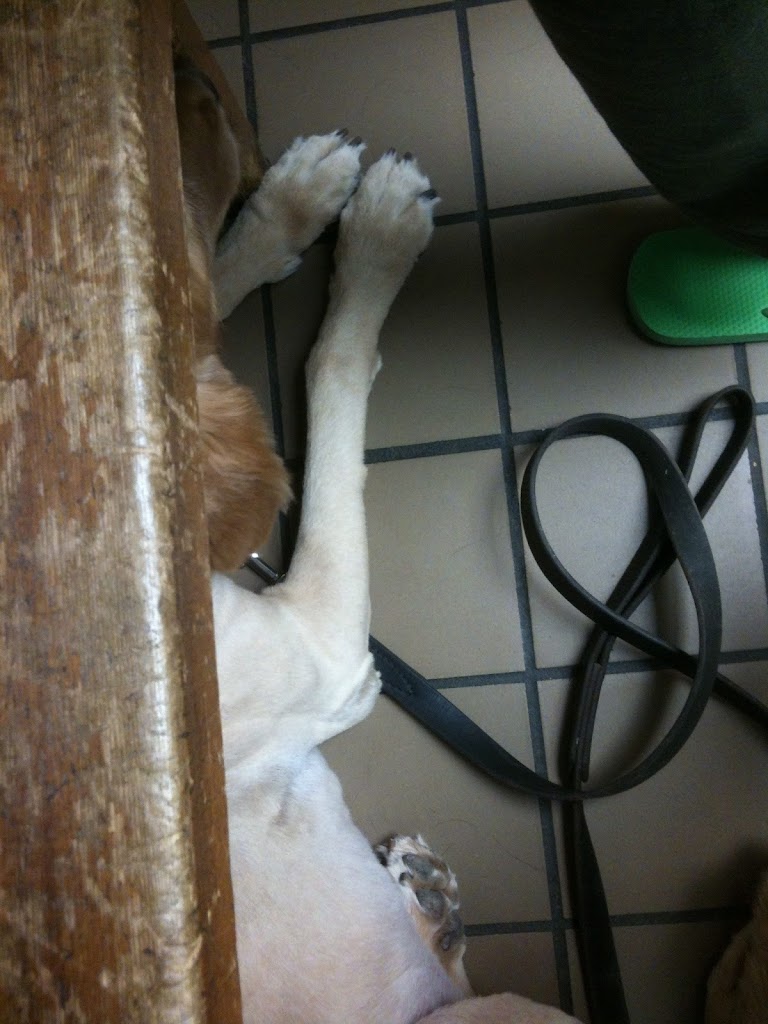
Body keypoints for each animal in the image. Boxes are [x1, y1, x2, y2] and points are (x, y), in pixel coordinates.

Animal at [176, 67, 579, 1024]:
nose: (192, 80)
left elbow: (207, 285)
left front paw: (298, 198)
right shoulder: (325, 647)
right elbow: (332, 365)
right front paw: (381, 233)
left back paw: (433, 903)